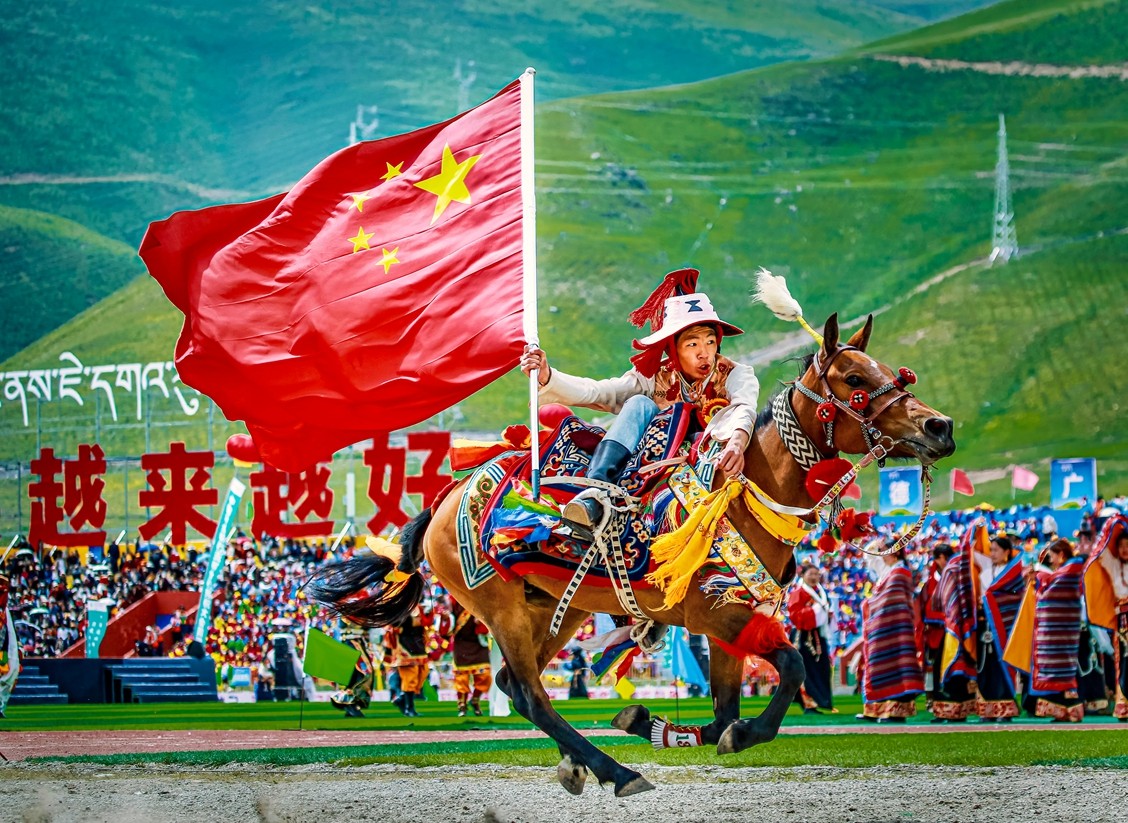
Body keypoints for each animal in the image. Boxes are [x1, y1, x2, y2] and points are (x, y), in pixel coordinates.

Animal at [306, 312, 956, 796]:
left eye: (890, 371)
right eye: (854, 380)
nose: (940, 427)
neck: (744, 492)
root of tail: (446, 496)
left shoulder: (731, 618)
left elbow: (726, 707)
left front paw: (655, 723)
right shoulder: (714, 615)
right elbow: (791, 666)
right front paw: (718, 733)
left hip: (556, 609)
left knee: (515, 685)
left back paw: (582, 762)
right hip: (500, 606)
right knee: (533, 693)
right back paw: (615, 771)